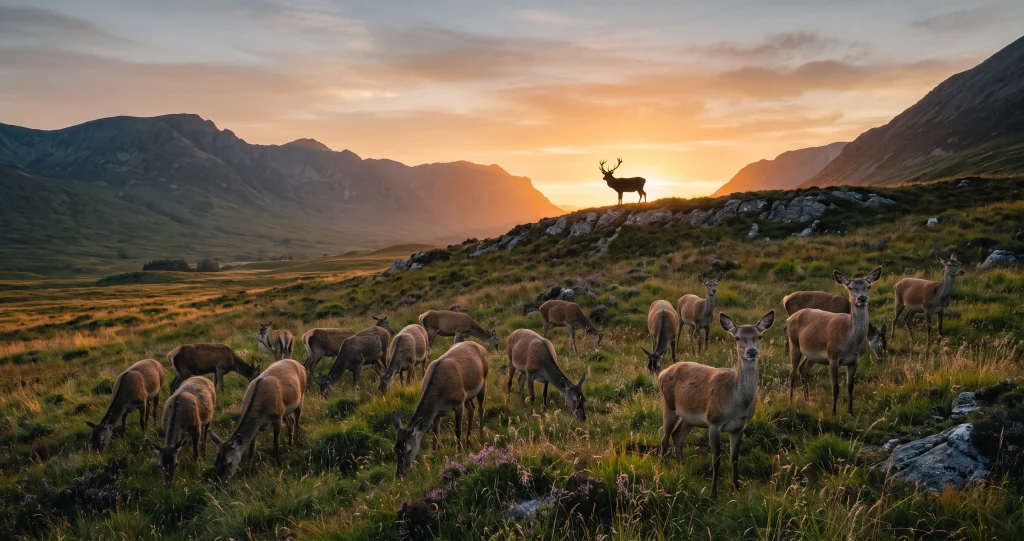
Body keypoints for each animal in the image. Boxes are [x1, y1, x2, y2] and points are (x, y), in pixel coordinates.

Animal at [391, 341, 489, 478]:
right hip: (467, 397)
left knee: (480, 409)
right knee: (471, 409)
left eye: (408, 450)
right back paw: (468, 440)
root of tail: (480, 346)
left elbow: (457, 430)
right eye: (394, 448)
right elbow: (435, 435)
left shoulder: (458, 402)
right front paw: (433, 458)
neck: (440, 397)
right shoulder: (436, 414)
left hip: (482, 383)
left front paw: (459, 454)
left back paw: (480, 434)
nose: (399, 474)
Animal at [659, 311, 775, 497]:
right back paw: (662, 467)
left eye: (759, 336)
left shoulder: (739, 426)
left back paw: (681, 467)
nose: (751, 351)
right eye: (737, 337)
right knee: (665, 437)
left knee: (677, 435)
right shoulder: (714, 421)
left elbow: (734, 458)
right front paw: (713, 493)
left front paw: (736, 488)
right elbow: (716, 459)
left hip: (689, 418)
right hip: (669, 405)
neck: (737, 404)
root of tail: (661, 373)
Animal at [787, 267, 882, 415]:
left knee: (803, 369)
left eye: (869, 286)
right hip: (794, 344)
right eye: (850, 287)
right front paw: (833, 412)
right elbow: (835, 388)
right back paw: (791, 401)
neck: (851, 343)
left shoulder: (854, 361)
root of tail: (790, 318)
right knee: (792, 373)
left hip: (813, 354)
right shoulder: (833, 357)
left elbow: (850, 386)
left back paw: (807, 401)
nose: (862, 298)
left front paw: (850, 412)